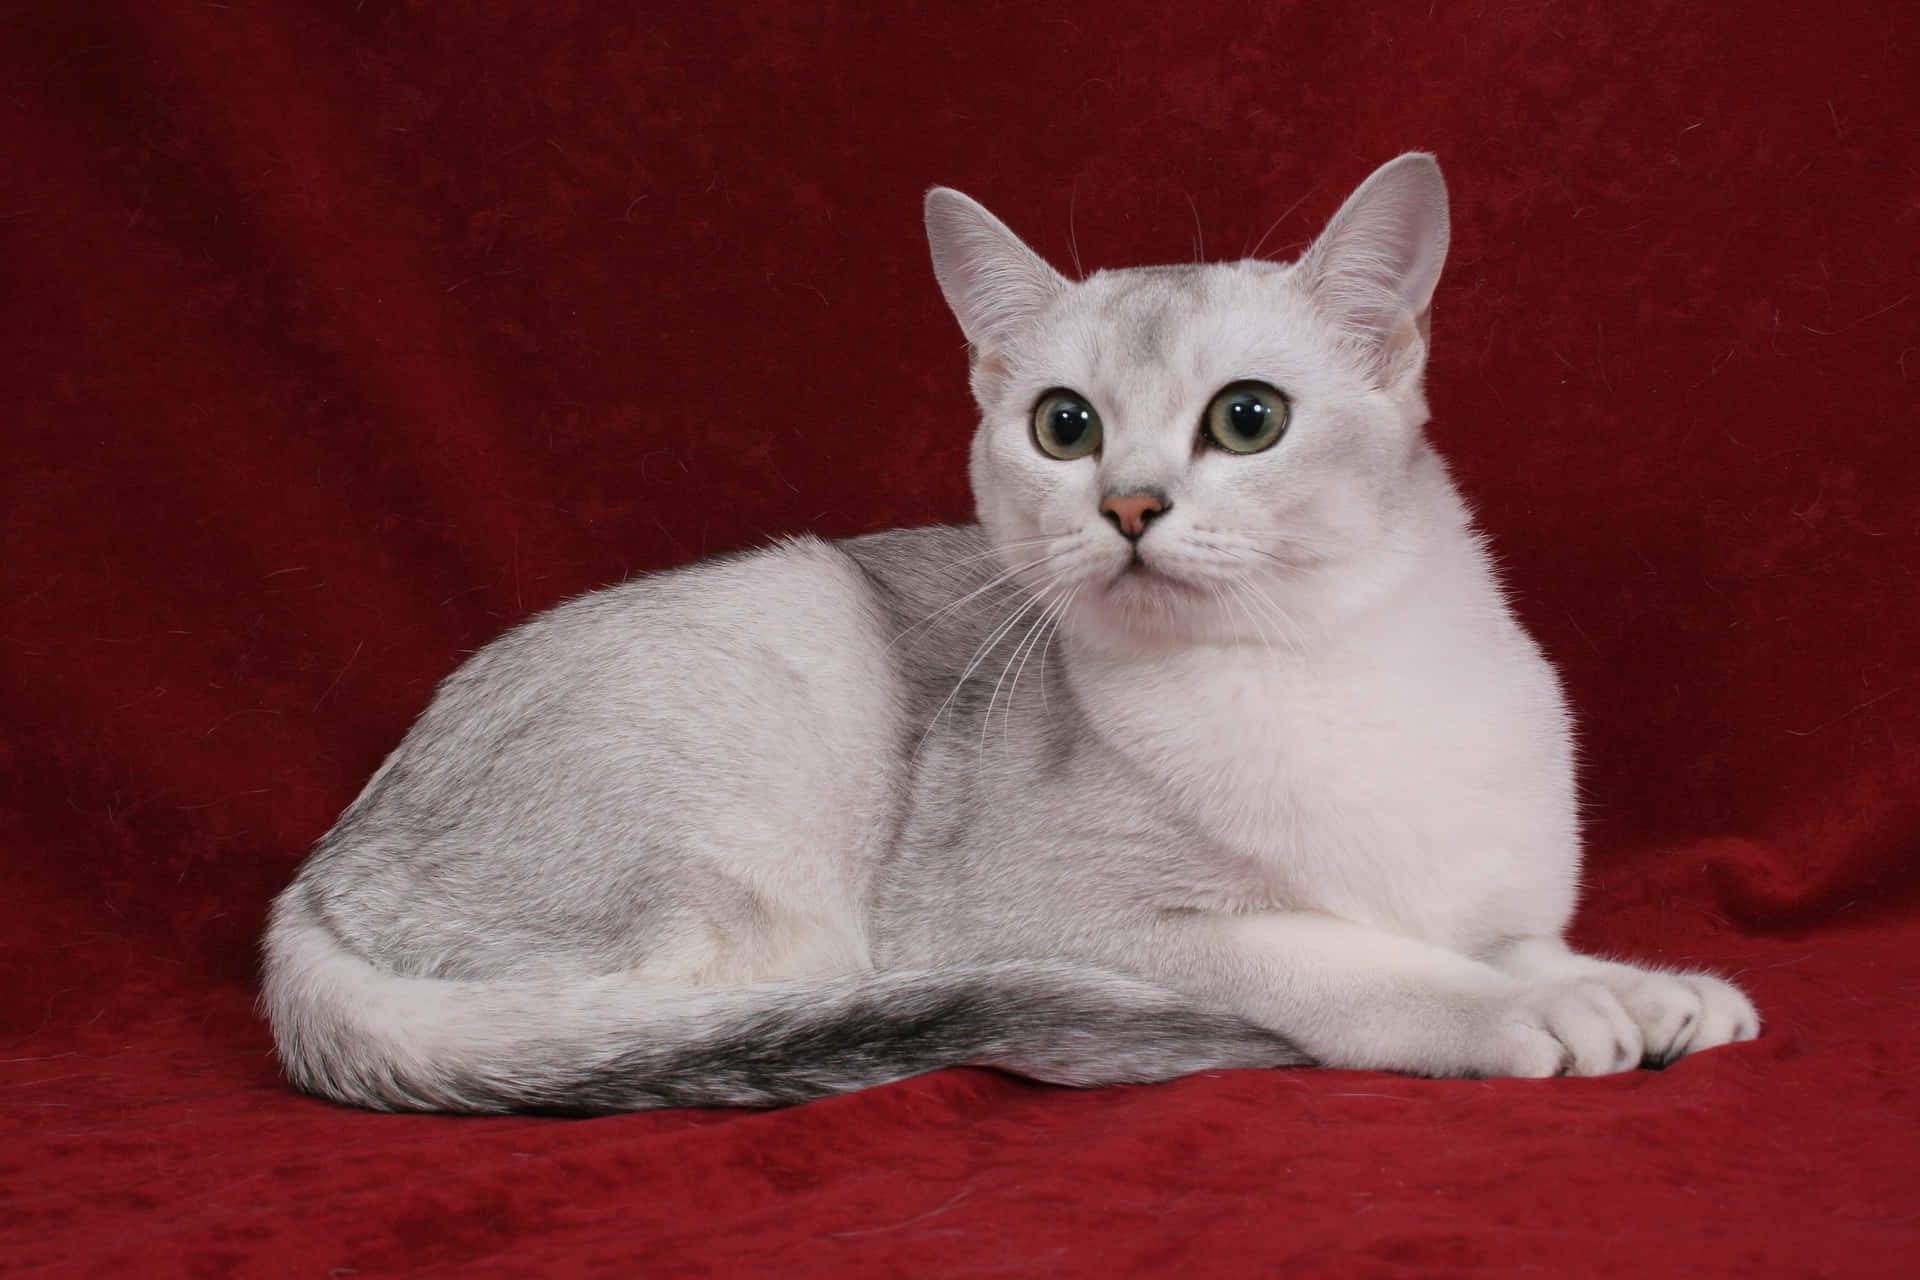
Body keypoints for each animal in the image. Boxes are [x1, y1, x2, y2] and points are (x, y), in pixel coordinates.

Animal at [266, 150, 1758, 1113]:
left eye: (1249, 419)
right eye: (1064, 424)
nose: (1130, 505)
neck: (1325, 663)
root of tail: (316, 878)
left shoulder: (1485, 881)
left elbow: (1512, 936)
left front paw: (1643, 986)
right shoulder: (1097, 919)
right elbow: (1369, 958)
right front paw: (1533, 1012)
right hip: (796, 658)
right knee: (664, 1022)